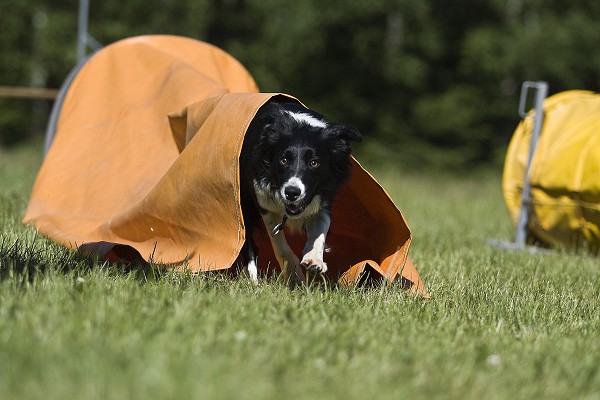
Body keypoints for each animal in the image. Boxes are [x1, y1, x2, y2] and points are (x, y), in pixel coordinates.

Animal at [239, 98, 360, 286]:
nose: (292, 192)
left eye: (314, 163)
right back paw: (253, 279)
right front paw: (293, 273)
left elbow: (320, 231)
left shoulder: (323, 199)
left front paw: (314, 260)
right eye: (283, 160)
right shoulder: (263, 203)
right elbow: (279, 243)